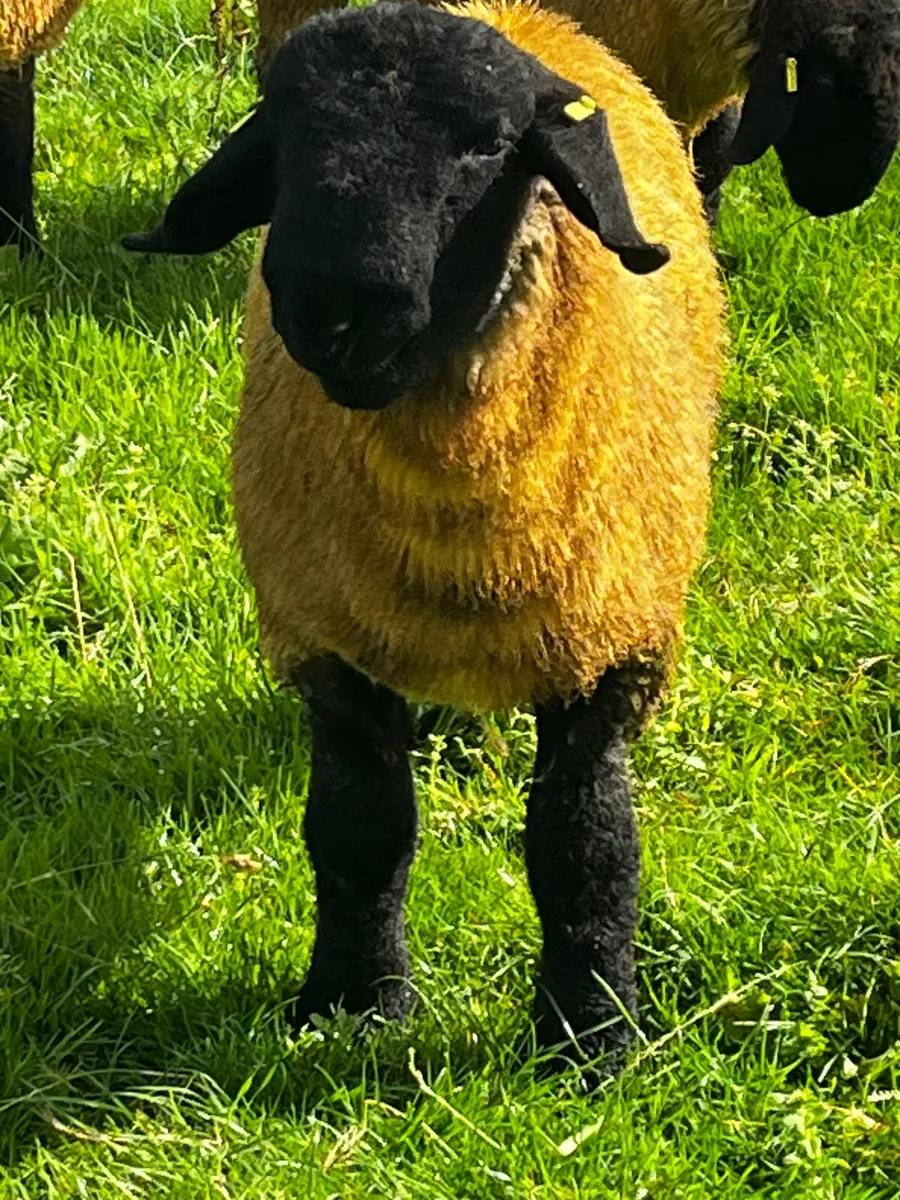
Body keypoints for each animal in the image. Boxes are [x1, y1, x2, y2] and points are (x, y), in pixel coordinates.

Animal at [123, 0, 723, 1067]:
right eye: (284, 130)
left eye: (488, 144)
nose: (333, 311)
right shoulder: (327, 639)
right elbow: (362, 830)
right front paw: (353, 1005)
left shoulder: (612, 637)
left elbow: (585, 841)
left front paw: (593, 1036)